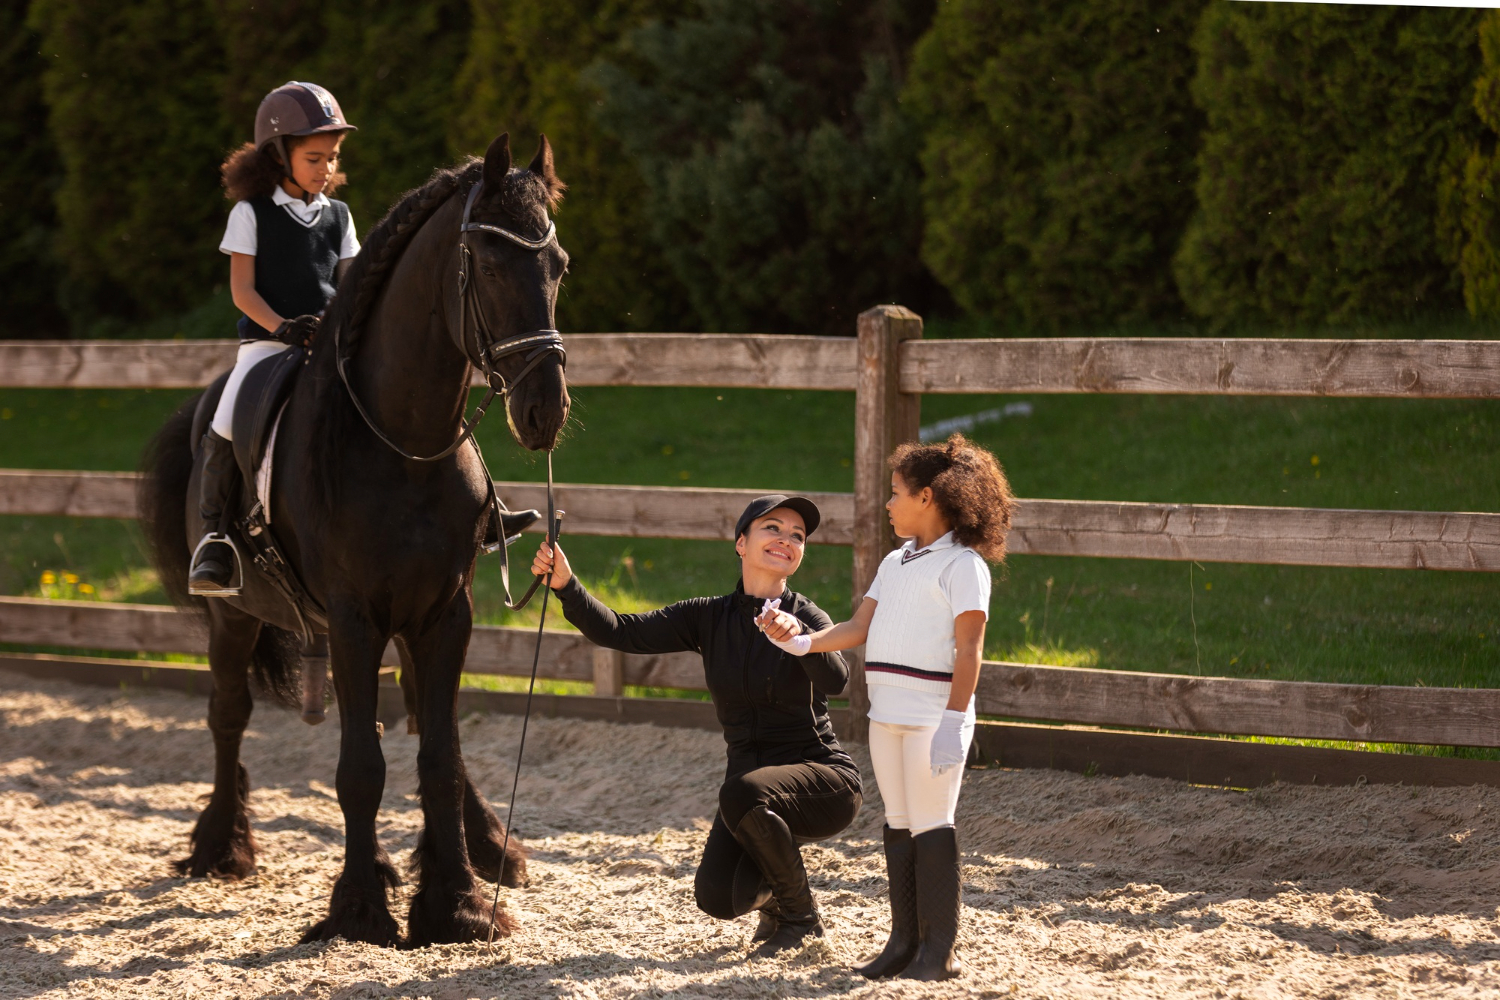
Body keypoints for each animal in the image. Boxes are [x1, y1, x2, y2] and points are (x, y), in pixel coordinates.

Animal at [139, 132, 567, 947]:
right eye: (491, 266)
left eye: (557, 266)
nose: (544, 411)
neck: (403, 442)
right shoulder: (352, 616)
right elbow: (360, 768)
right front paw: (361, 909)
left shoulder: (444, 612)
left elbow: (437, 752)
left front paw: (458, 903)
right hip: (235, 617)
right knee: (228, 714)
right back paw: (221, 847)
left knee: (411, 719)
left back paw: (475, 848)